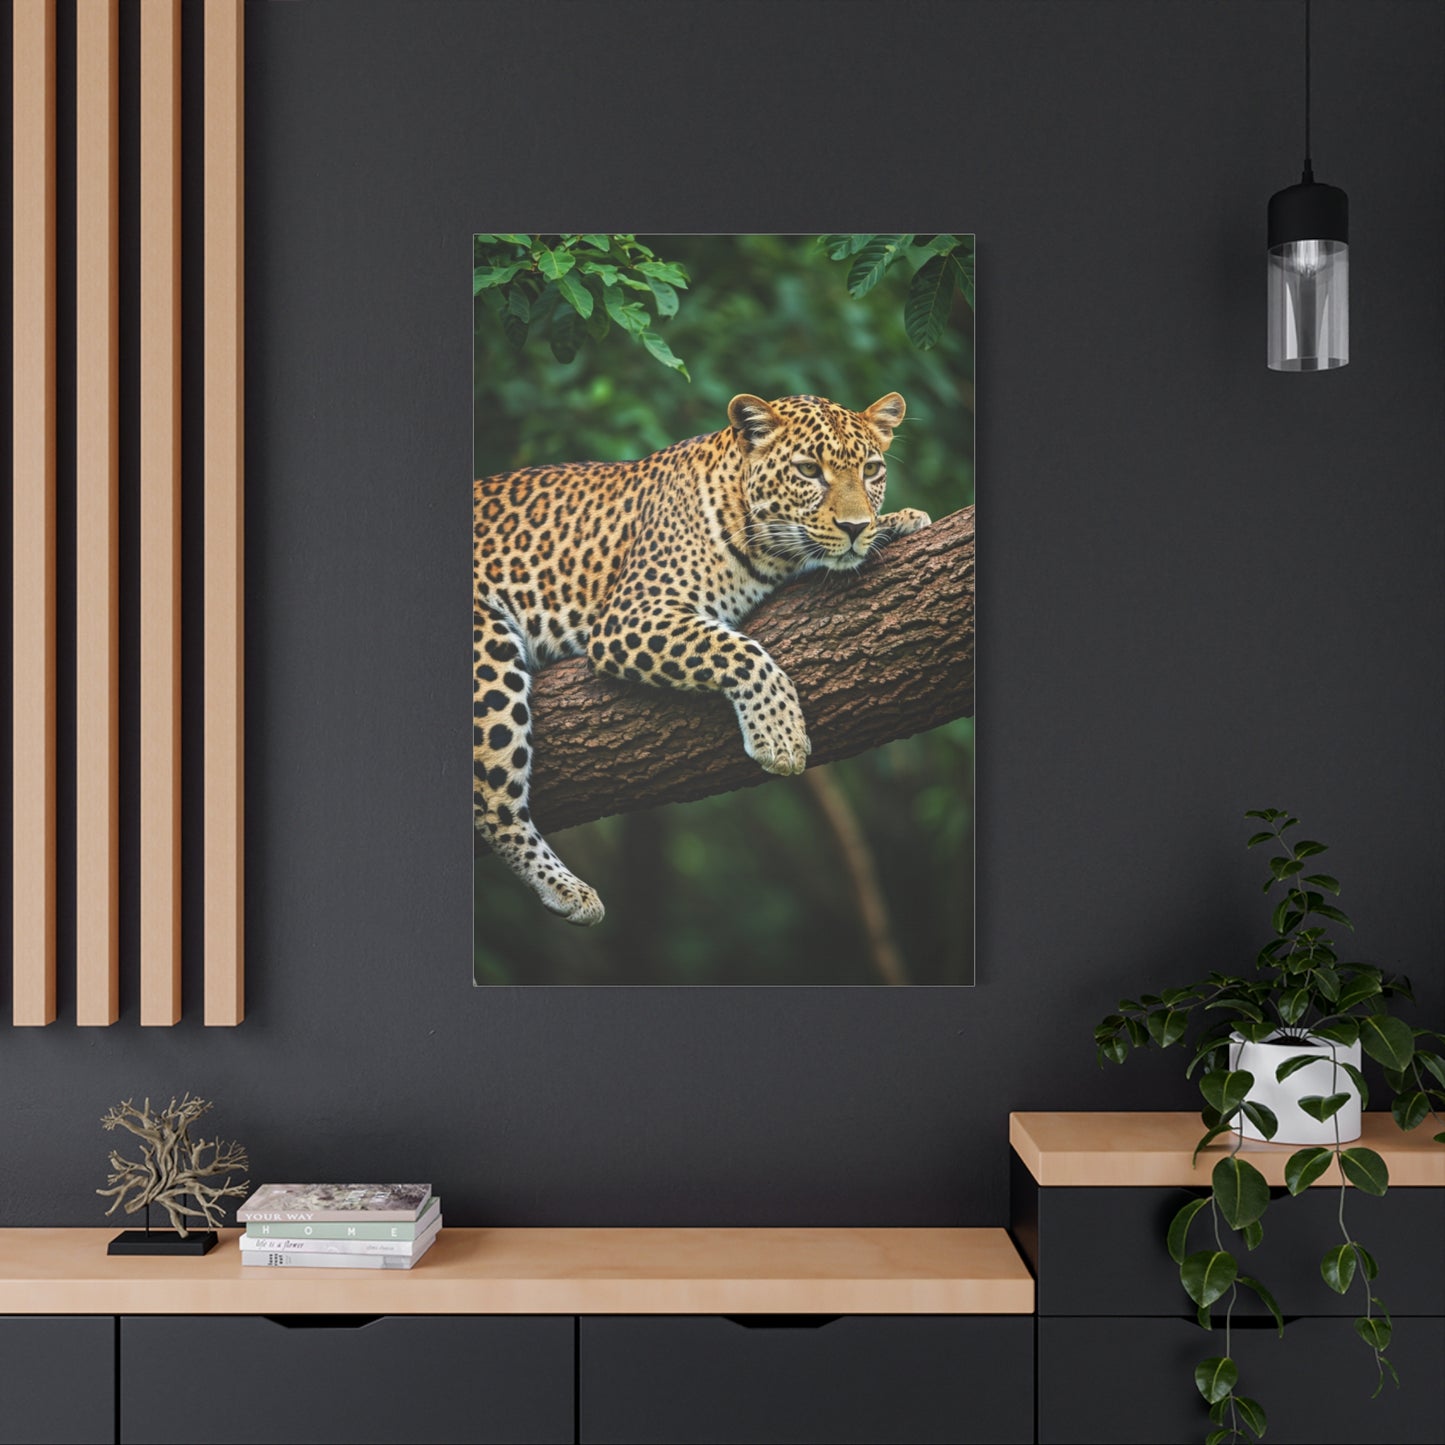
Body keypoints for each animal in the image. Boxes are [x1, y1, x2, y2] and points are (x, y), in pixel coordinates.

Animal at [473, 390, 931, 925]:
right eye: (808, 470)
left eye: (872, 470)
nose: (856, 527)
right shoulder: (632, 615)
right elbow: (742, 650)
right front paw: (781, 737)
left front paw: (898, 521)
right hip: (489, 658)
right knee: (493, 802)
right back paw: (567, 889)